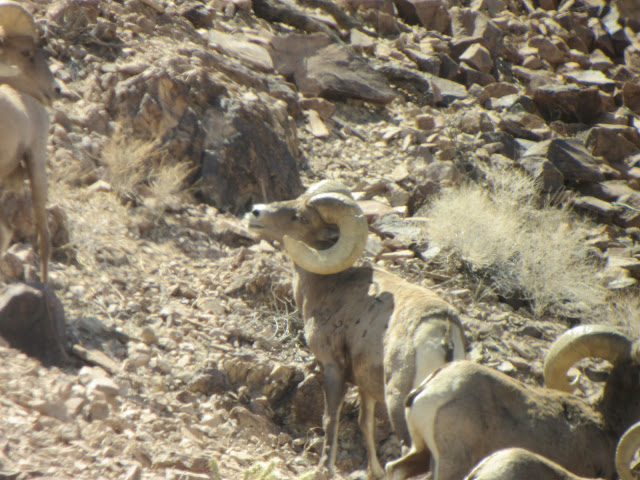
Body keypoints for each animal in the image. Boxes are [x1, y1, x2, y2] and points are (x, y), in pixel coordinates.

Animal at [247, 180, 466, 479]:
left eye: (301, 217)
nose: (255, 212)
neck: (329, 285)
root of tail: (443, 332)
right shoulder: (365, 386)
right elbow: (366, 423)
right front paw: (372, 472)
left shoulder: (332, 367)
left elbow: (330, 418)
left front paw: (323, 469)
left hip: (399, 404)